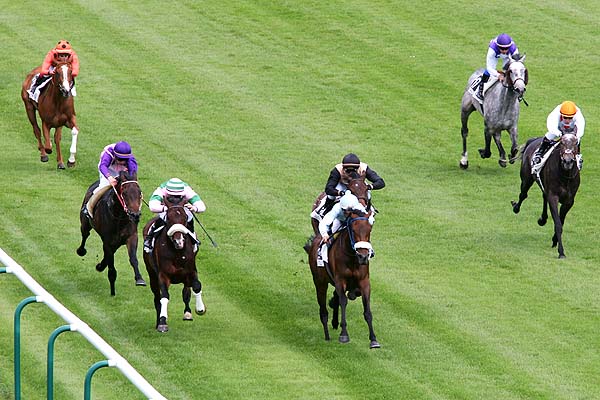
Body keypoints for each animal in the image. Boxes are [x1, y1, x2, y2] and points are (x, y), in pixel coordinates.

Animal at [143, 198, 206, 332]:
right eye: (168, 219)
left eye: (185, 219)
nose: (179, 241)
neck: (178, 252)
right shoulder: (163, 275)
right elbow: (164, 296)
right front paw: (162, 322)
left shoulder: (191, 271)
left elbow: (196, 286)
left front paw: (200, 309)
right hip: (151, 274)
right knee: (157, 298)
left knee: (186, 291)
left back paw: (187, 313)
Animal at [304, 205, 380, 348]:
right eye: (353, 230)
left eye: (369, 230)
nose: (363, 256)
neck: (352, 258)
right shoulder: (340, 281)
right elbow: (343, 302)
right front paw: (344, 334)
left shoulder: (364, 282)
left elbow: (367, 310)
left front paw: (373, 339)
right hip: (320, 282)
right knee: (323, 310)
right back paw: (327, 334)